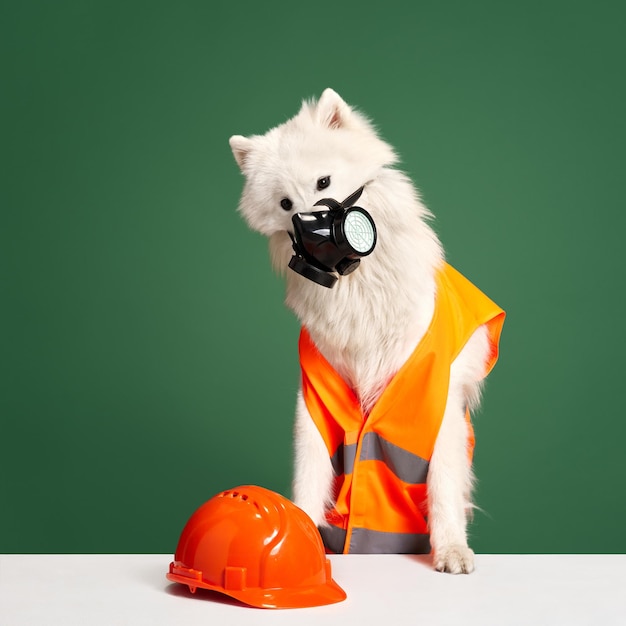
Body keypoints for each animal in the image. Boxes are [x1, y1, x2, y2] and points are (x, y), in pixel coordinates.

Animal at [229, 88, 502, 572]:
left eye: (323, 183)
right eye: (285, 205)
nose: (312, 241)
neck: (358, 289)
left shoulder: (437, 397)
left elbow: (445, 486)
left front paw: (452, 550)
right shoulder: (316, 397)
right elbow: (309, 476)